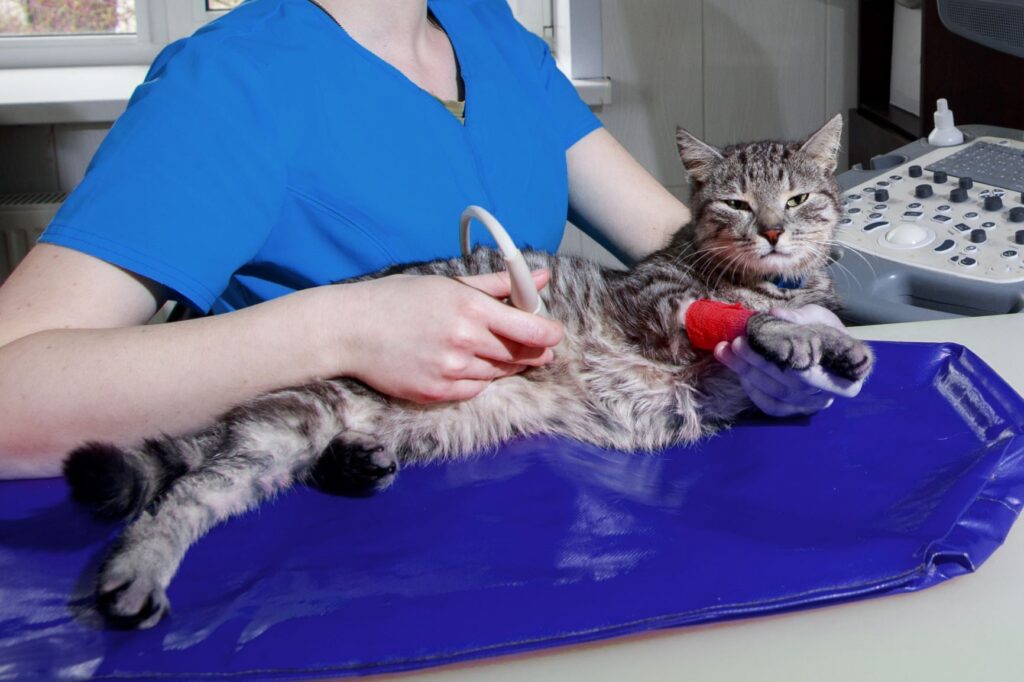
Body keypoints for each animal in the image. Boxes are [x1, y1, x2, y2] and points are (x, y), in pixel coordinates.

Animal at [61, 112, 872, 626]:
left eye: (798, 198)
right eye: (736, 203)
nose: (773, 232)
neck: (772, 282)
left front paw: (833, 347)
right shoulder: (655, 298)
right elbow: (735, 319)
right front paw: (787, 334)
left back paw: (355, 463)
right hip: (287, 424)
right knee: (183, 498)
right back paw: (137, 570)